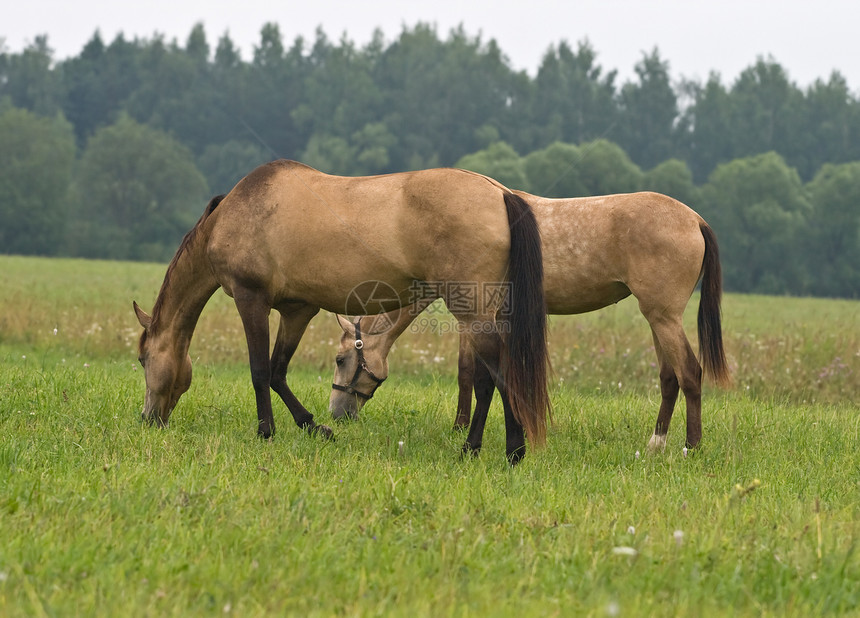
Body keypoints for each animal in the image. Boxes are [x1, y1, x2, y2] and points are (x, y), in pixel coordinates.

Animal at [134, 159, 552, 462]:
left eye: (141, 359)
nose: (147, 419)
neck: (235, 213)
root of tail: (500, 192)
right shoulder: (298, 310)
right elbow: (277, 370)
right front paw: (314, 427)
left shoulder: (250, 299)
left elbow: (258, 371)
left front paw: (266, 431)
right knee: (486, 379)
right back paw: (477, 448)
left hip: (472, 312)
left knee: (498, 374)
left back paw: (508, 451)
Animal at [330, 190, 732, 450]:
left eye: (340, 359)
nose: (337, 414)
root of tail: (695, 220)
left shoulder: (474, 319)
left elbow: (467, 373)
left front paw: (461, 428)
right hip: (658, 320)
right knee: (669, 377)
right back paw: (656, 443)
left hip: (664, 318)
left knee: (690, 373)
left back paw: (691, 447)